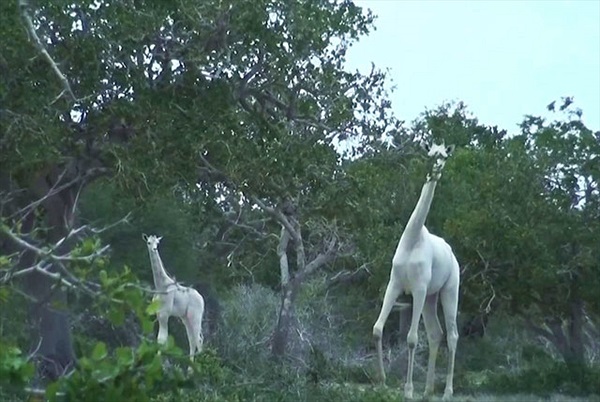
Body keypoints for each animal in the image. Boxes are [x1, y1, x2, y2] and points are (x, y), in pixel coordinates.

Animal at [372, 140, 460, 400]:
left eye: (444, 156)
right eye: (430, 154)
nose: (436, 169)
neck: (413, 238)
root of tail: (452, 255)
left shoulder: (418, 289)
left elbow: (411, 339)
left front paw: (408, 389)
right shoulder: (394, 284)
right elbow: (378, 329)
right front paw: (382, 381)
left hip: (449, 291)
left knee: (452, 335)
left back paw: (447, 391)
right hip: (432, 297)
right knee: (436, 333)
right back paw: (429, 389)